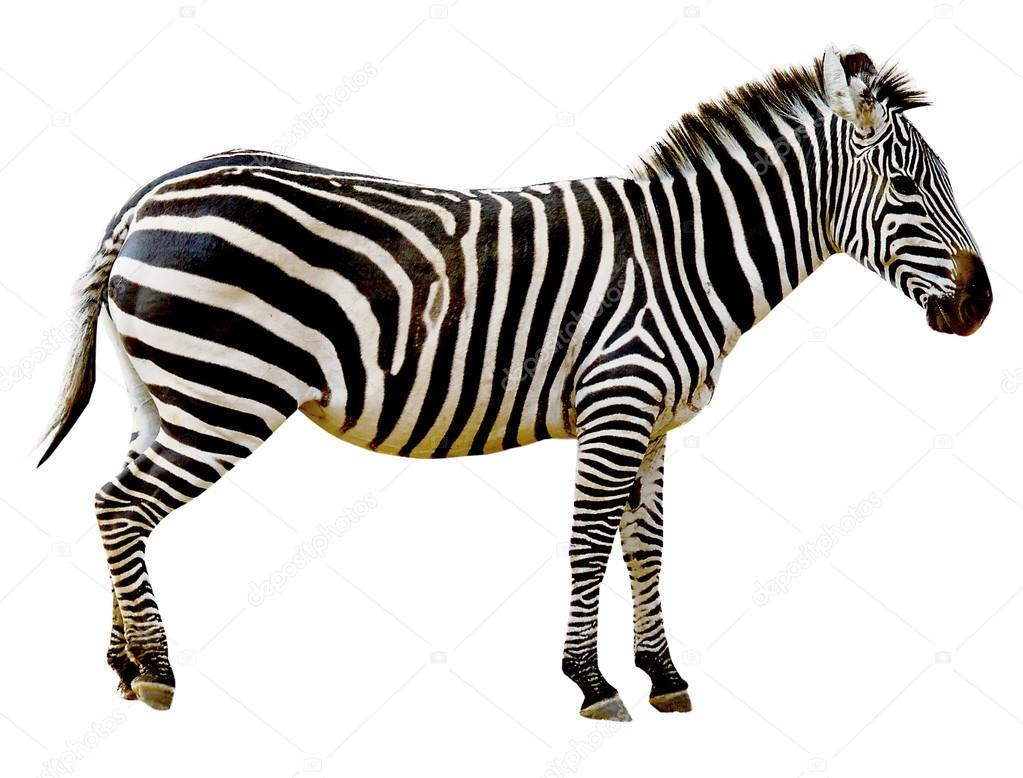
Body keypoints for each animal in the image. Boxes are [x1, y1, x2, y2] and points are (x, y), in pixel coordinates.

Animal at [38, 46, 991, 721]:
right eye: (906, 186)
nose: (980, 305)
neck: (685, 258)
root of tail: (152, 194)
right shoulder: (616, 403)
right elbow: (588, 542)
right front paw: (591, 683)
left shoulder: (653, 423)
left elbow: (645, 547)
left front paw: (662, 675)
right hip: (226, 394)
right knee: (122, 505)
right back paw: (158, 671)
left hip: (164, 395)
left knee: (114, 504)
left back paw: (125, 666)